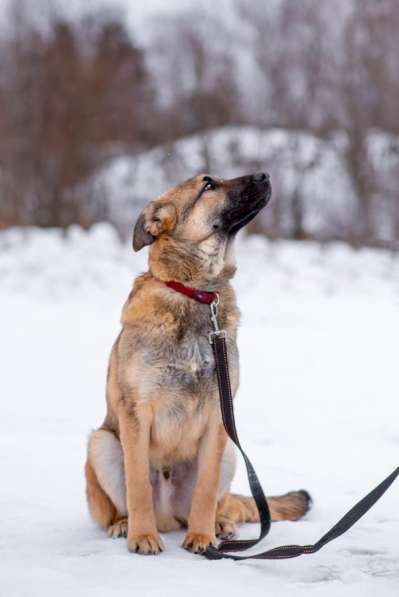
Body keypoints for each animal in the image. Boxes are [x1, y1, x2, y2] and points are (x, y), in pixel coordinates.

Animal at [85, 172, 312, 556]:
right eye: (208, 185)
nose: (265, 174)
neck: (196, 293)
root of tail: (168, 517)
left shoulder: (219, 415)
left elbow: (205, 490)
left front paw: (202, 537)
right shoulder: (135, 414)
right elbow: (138, 486)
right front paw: (142, 536)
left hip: (230, 452)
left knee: (219, 502)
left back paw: (219, 524)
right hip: (101, 443)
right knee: (120, 502)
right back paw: (125, 524)